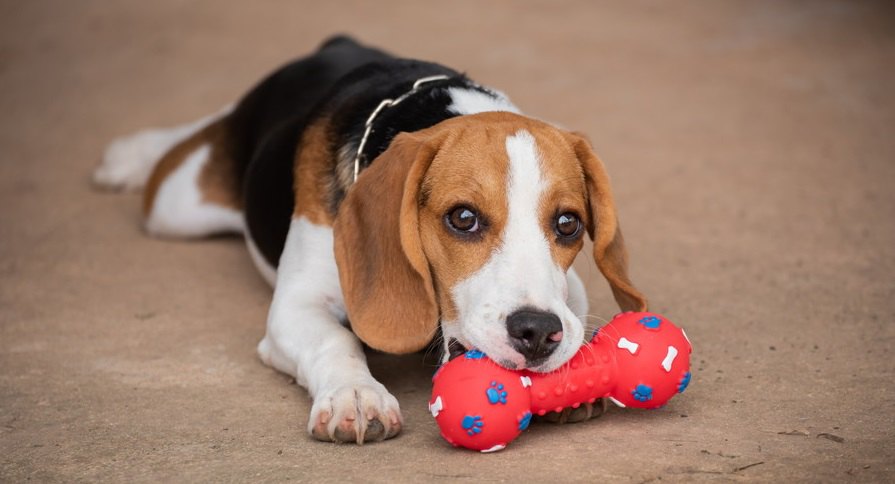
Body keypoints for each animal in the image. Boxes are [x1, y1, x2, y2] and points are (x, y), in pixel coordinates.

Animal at [94, 36, 648, 444]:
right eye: (463, 218)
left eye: (568, 224)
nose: (536, 332)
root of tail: (341, 45)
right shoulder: (295, 307)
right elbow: (335, 339)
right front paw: (354, 395)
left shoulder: (571, 291)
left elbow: (572, 307)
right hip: (176, 205)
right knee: (193, 138)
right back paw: (130, 156)